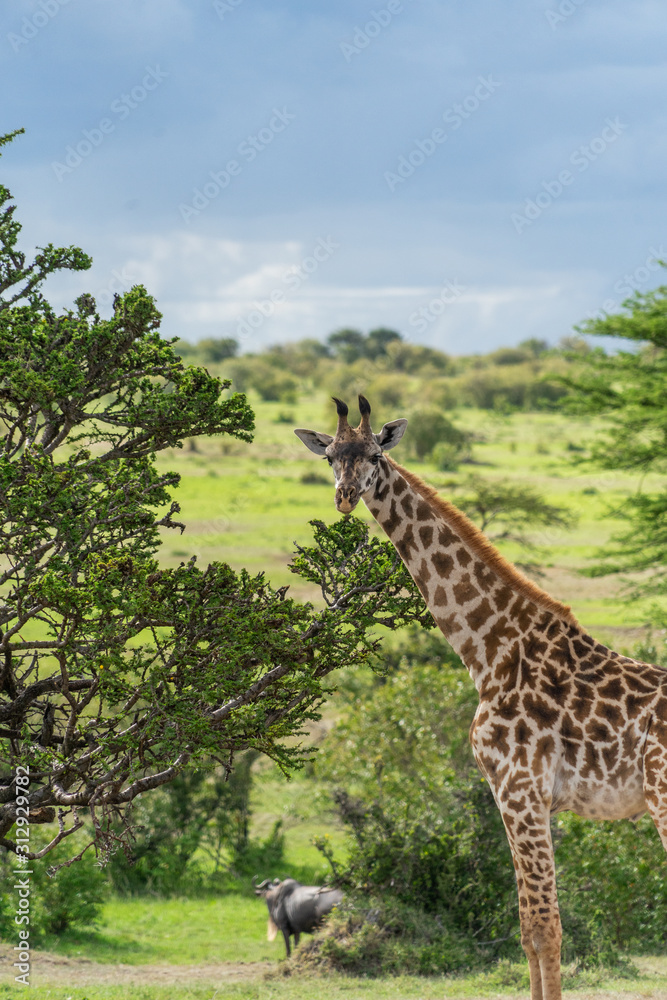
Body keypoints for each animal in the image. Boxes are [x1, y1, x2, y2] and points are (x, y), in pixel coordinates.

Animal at [294, 395, 667, 1000]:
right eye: (330, 456)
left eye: (375, 454)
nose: (346, 496)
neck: (490, 652)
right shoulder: (510, 795)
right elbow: (527, 927)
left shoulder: (520, 789)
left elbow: (544, 928)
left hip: (661, 798)